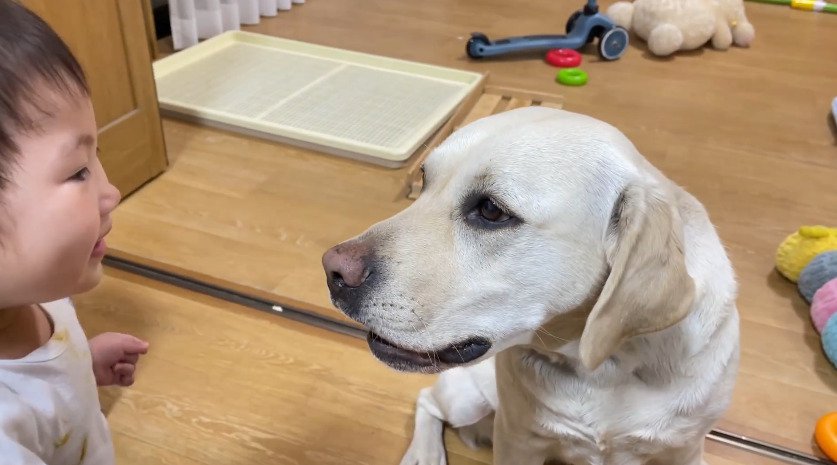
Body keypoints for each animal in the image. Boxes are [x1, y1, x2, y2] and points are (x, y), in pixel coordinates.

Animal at [322, 107, 740, 462]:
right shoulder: (519, 438)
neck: (606, 368)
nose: (333, 271)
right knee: (427, 400)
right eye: (425, 180)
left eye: (491, 210)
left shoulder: (683, 449)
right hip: (467, 398)